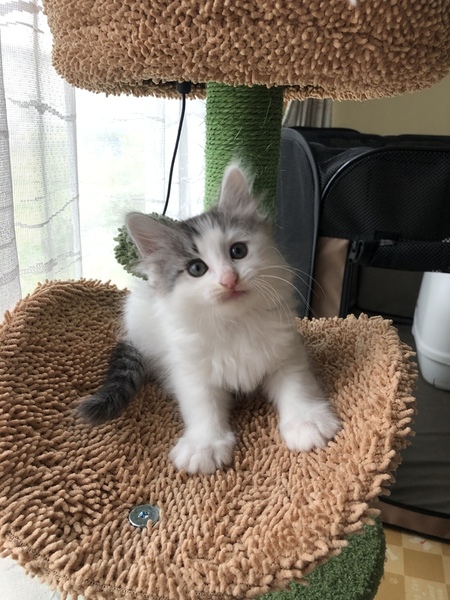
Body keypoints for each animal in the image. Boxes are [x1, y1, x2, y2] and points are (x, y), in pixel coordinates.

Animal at [78, 164, 341, 474]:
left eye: (238, 251)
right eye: (196, 268)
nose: (229, 279)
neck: (235, 324)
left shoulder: (287, 354)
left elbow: (297, 388)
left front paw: (306, 423)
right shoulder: (191, 372)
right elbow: (203, 407)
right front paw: (204, 445)